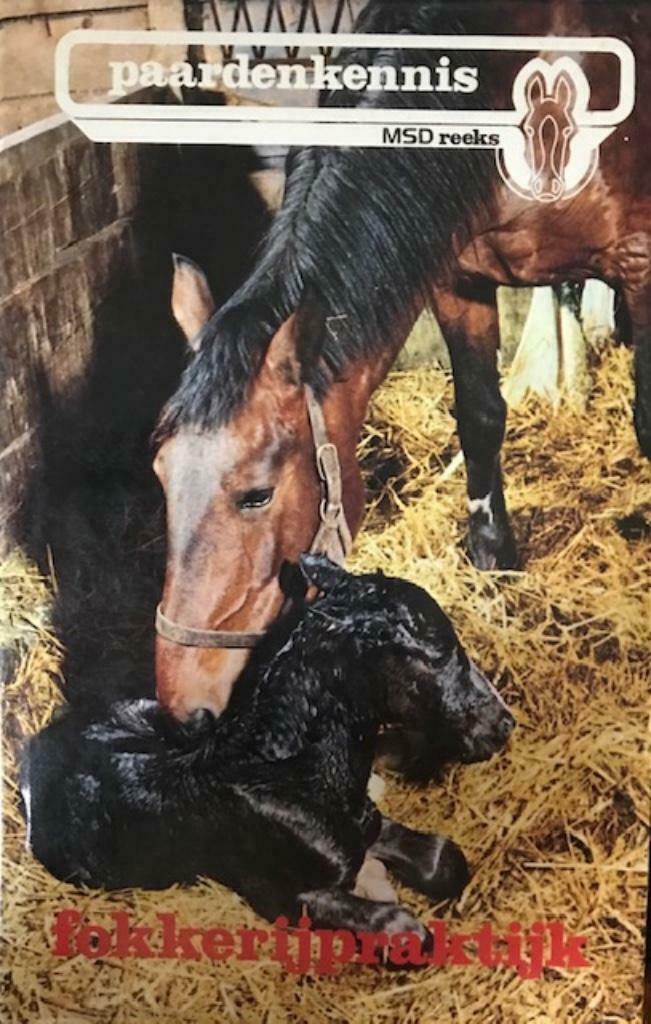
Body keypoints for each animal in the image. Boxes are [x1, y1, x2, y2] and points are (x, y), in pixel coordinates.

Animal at [21, 555, 513, 937]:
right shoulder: (288, 896)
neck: (289, 772)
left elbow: (444, 861)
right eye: (439, 653)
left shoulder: (364, 824)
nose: (502, 724)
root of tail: (37, 746)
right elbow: (404, 928)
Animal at [153, 0, 650, 717]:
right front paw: (492, 557)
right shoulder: (457, 278)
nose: (182, 702)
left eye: (255, 495)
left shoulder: (639, 264)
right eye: (161, 477)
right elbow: (479, 414)